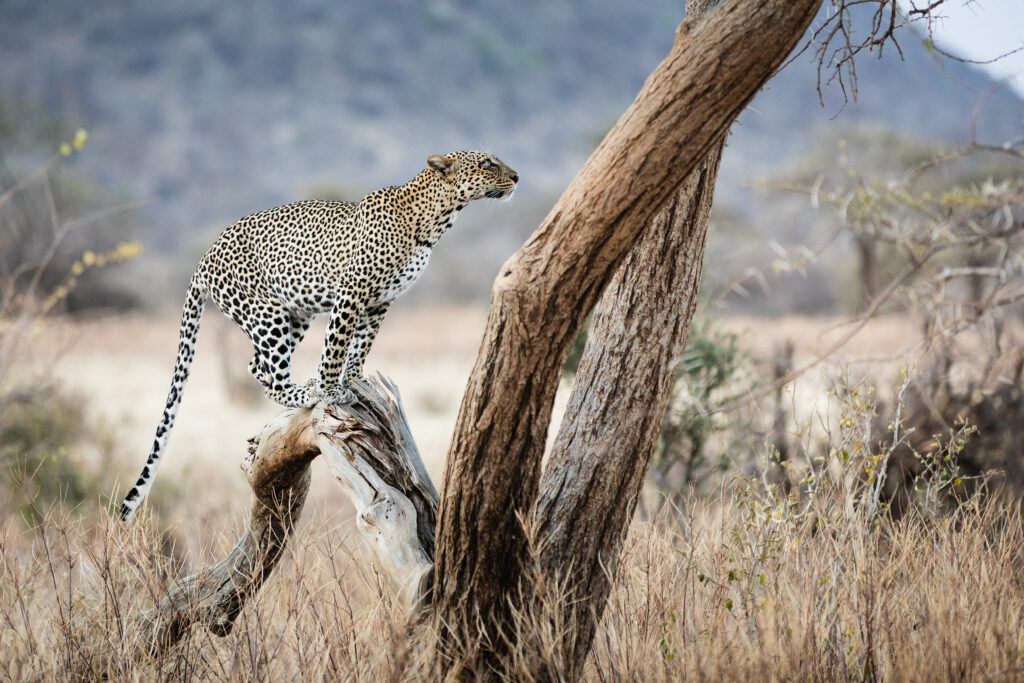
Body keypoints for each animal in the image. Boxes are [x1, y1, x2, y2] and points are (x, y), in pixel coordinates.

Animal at [117, 152, 520, 520]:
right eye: (488, 163)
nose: (516, 176)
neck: (434, 220)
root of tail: (204, 256)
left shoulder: (379, 302)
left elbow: (361, 345)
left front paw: (355, 380)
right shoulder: (352, 292)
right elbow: (336, 346)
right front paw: (330, 390)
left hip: (295, 313)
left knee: (256, 366)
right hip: (269, 314)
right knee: (269, 373)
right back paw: (306, 391)